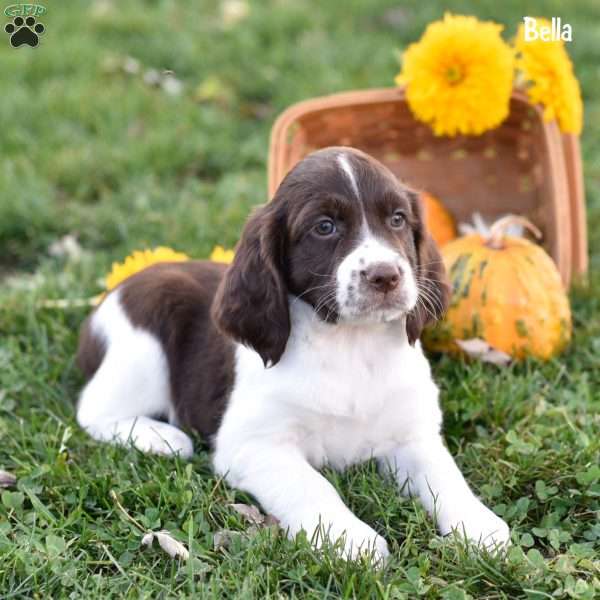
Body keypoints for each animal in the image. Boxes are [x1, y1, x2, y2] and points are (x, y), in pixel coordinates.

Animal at [75, 148, 508, 560]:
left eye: (398, 219)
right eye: (324, 227)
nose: (386, 276)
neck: (351, 343)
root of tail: (111, 293)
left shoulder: (412, 433)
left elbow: (445, 474)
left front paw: (479, 526)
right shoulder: (254, 444)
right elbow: (312, 485)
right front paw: (351, 540)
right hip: (143, 349)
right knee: (91, 408)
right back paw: (161, 438)